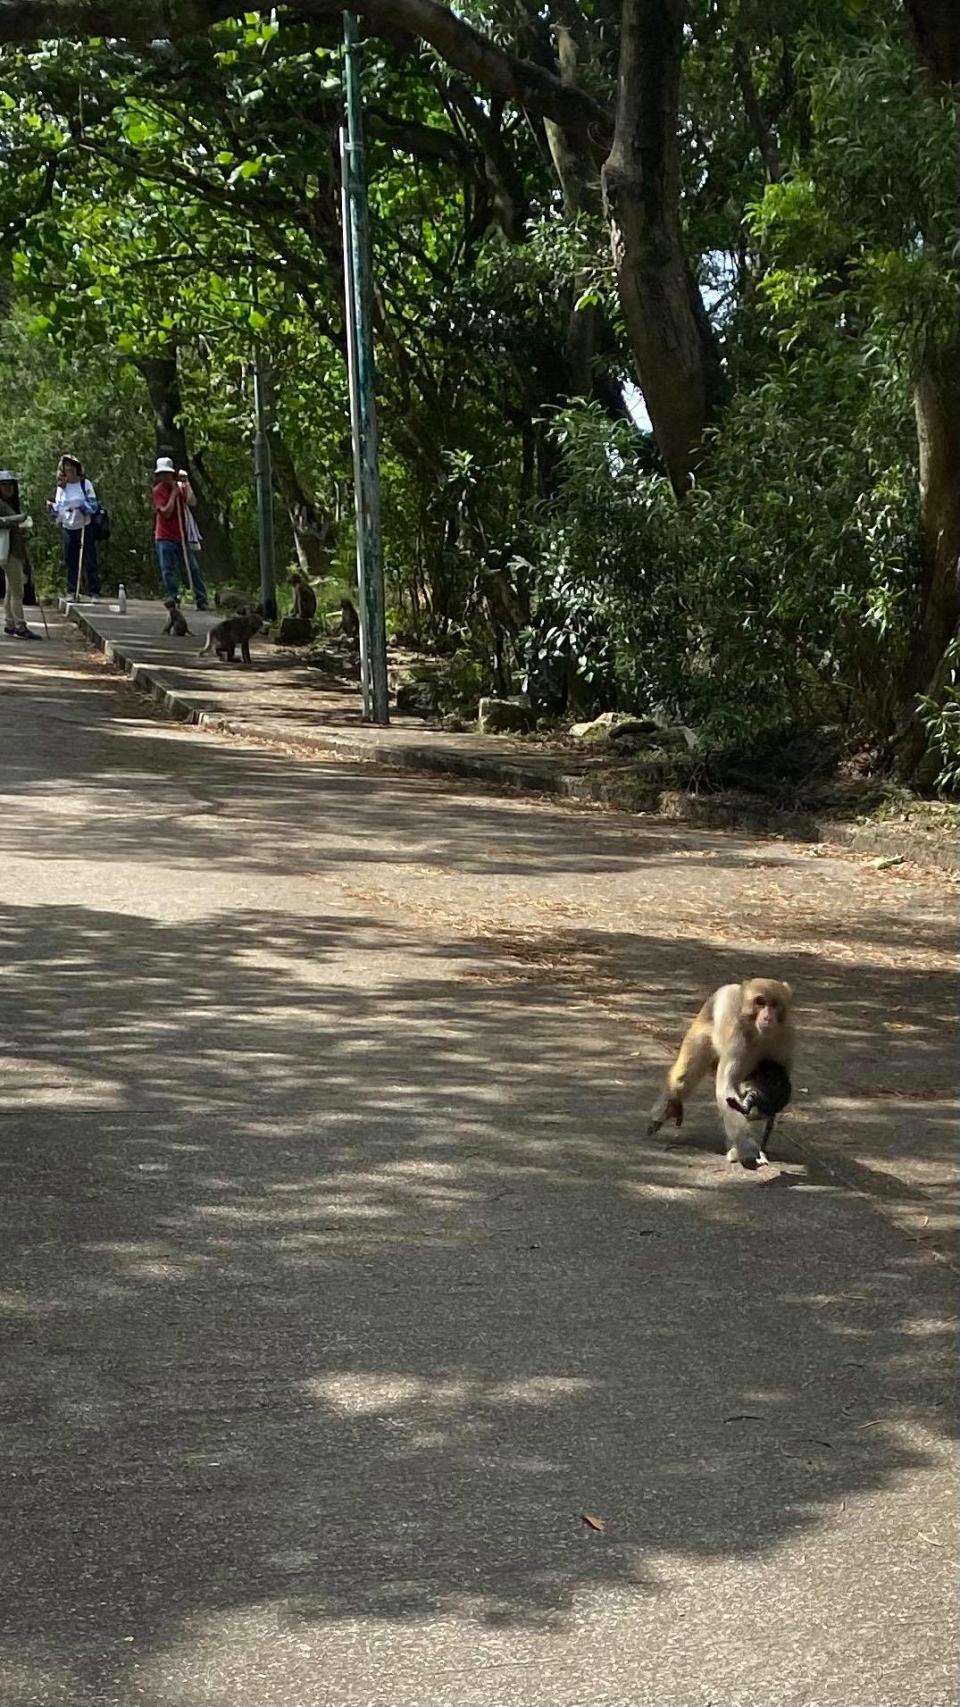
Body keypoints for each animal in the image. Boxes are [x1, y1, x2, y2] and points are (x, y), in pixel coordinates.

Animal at [645, 983, 796, 1167]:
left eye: (774, 1005)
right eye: (761, 1002)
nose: (767, 1016)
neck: (758, 1033)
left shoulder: (786, 1039)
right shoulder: (736, 1040)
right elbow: (726, 1088)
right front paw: (746, 1147)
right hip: (703, 1026)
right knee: (684, 1076)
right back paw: (670, 1105)